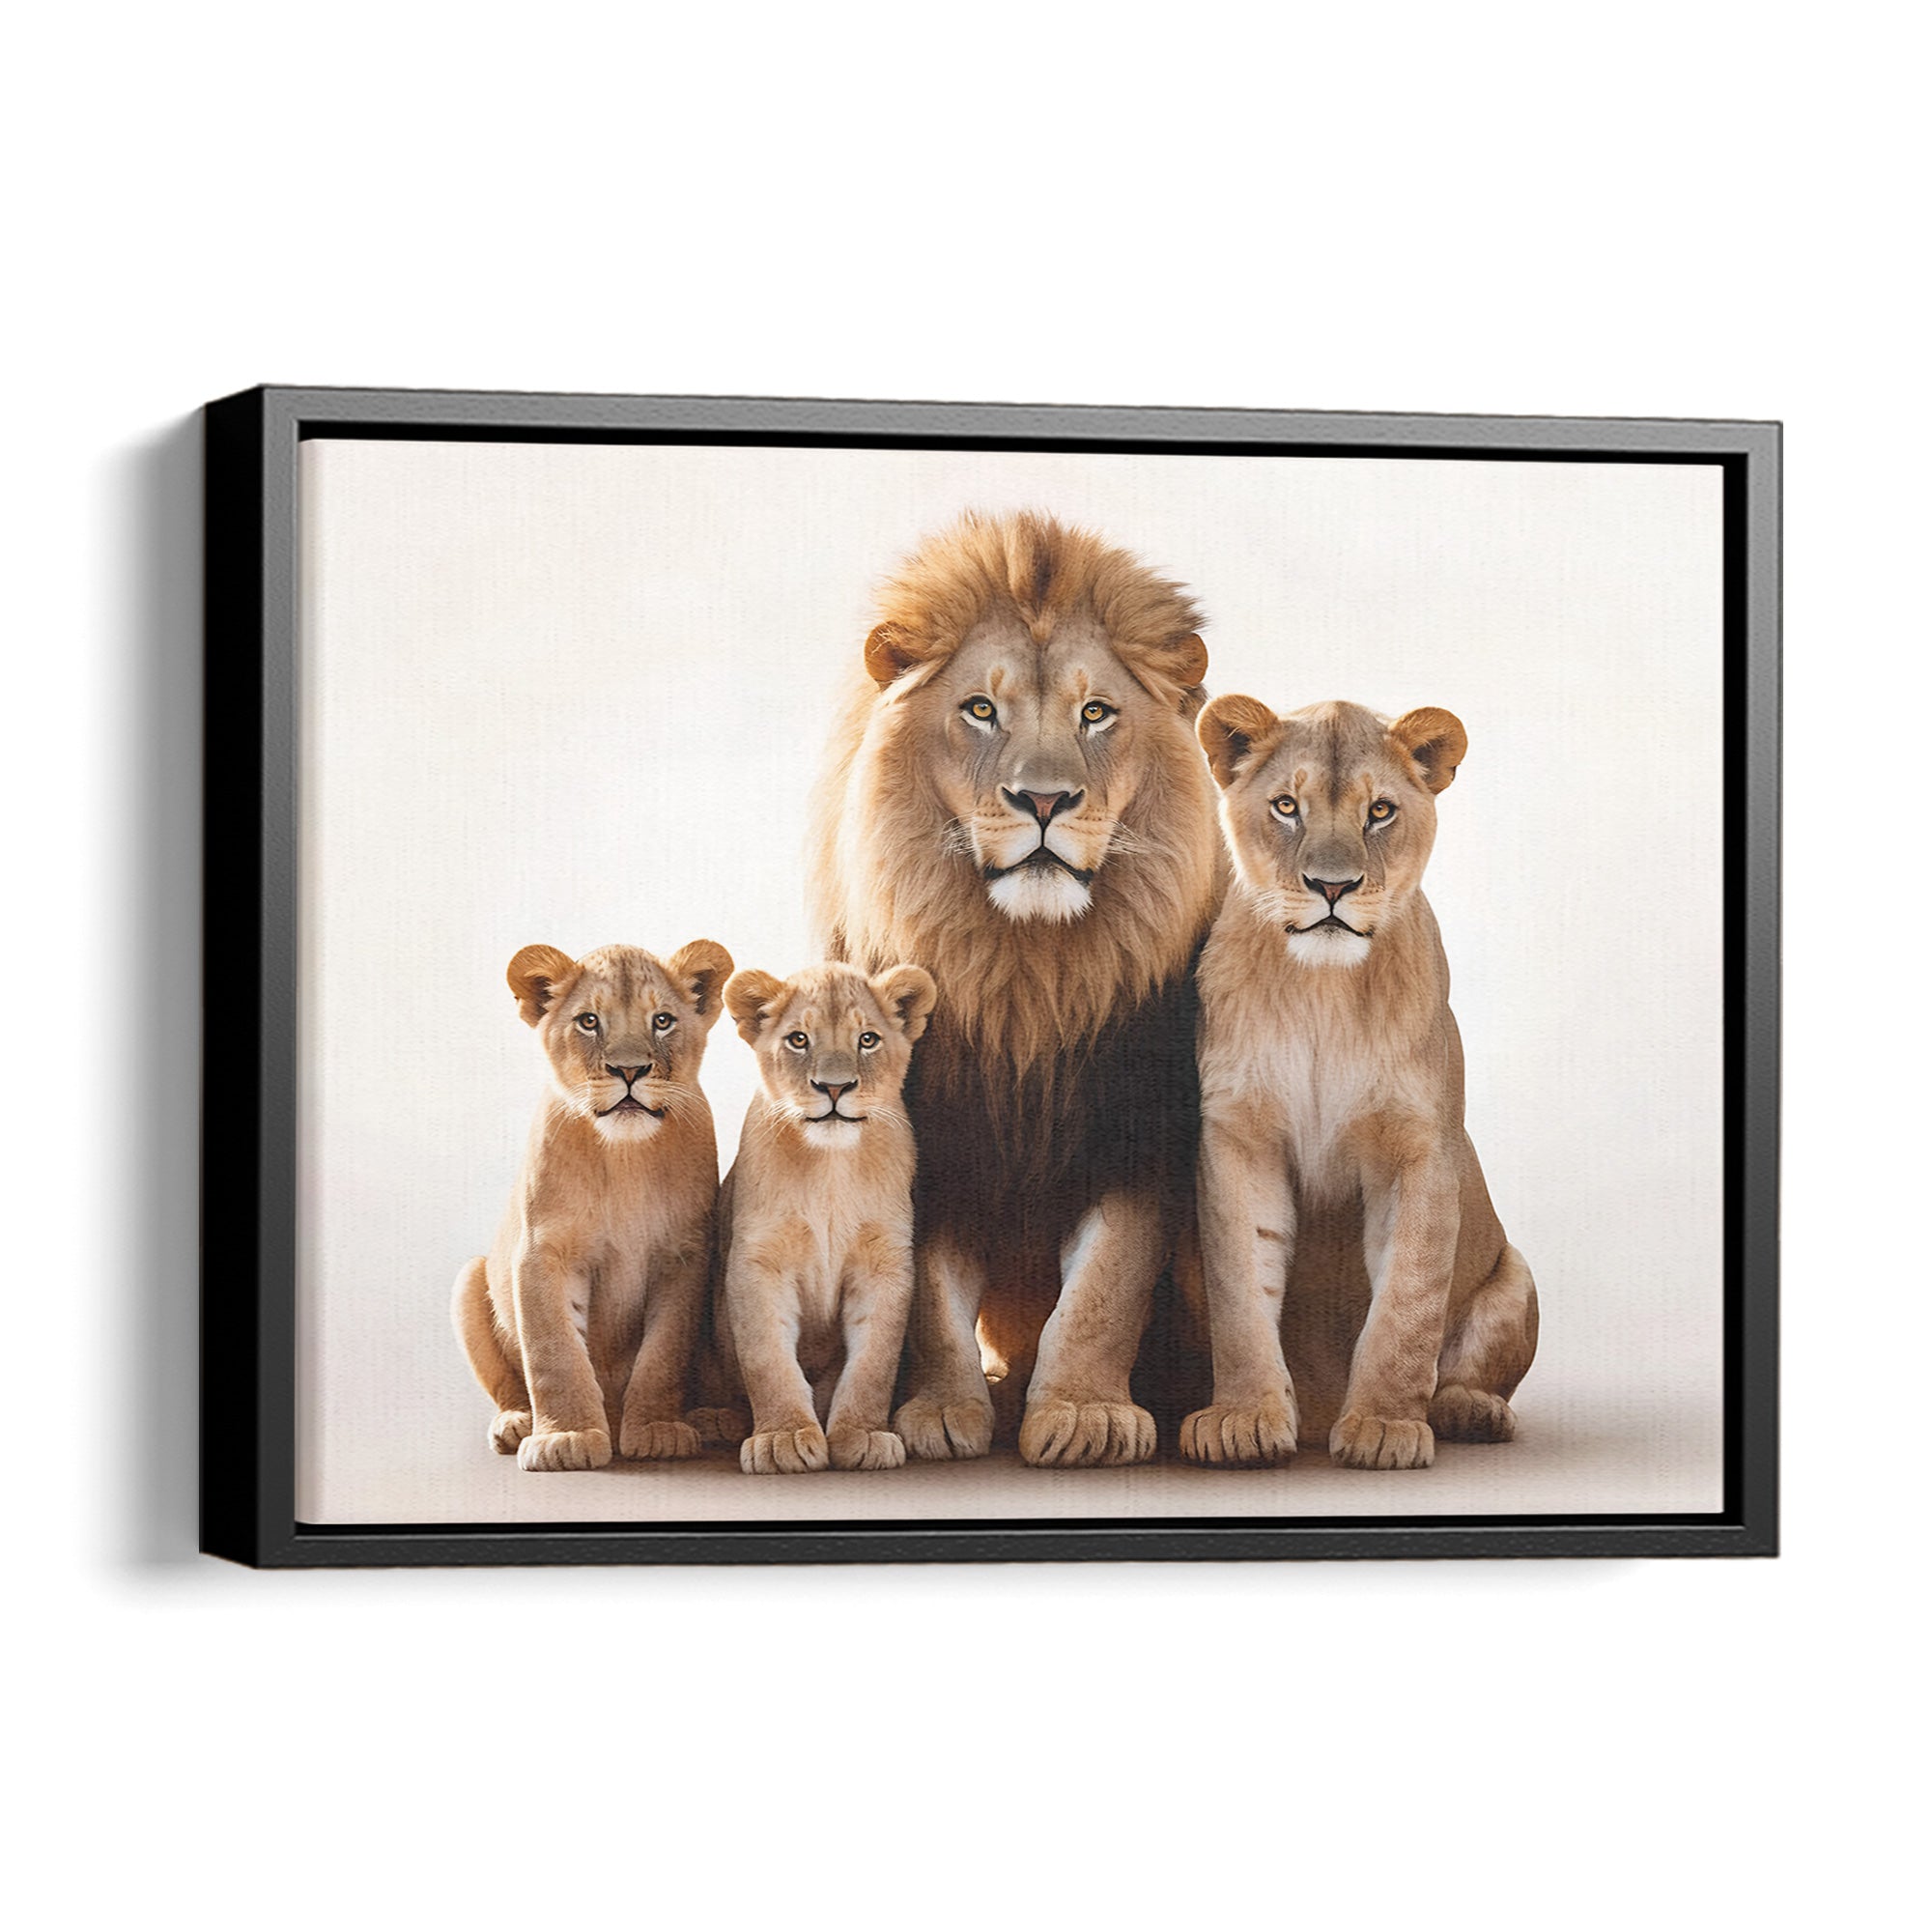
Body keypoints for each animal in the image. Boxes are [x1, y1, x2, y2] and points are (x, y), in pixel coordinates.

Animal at [450, 938, 733, 1471]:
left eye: (662, 1020)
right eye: (588, 1021)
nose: (629, 1070)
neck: (623, 1157)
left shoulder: (684, 1256)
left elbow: (663, 1354)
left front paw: (658, 1430)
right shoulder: (542, 1252)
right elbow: (554, 1352)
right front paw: (566, 1438)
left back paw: (711, 1419)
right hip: (469, 1278)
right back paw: (515, 1423)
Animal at [712, 960, 938, 1473]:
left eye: (867, 1040)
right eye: (799, 1039)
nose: (834, 1087)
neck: (831, 1167)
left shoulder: (885, 1263)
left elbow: (874, 1362)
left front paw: (863, 1435)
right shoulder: (758, 1261)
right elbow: (767, 1359)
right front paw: (781, 1437)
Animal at [810, 511, 1221, 1467]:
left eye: (1096, 713)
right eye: (981, 709)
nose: (1044, 800)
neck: (1025, 978)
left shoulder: (1141, 1137)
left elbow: (1104, 1288)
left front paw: (1084, 1414)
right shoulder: (928, 1137)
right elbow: (928, 1296)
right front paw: (939, 1412)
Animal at [1178, 696, 1538, 1471]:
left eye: (1380, 811)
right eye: (1287, 806)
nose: (1333, 887)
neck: (1324, 991)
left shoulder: (1419, 1149)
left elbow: (1407, 1302)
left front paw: (1384, 1426)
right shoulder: (1238, 1138)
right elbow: (1240, 1294)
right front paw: (1243, 1419)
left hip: (1516, 1275)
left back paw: (1470, 1410)